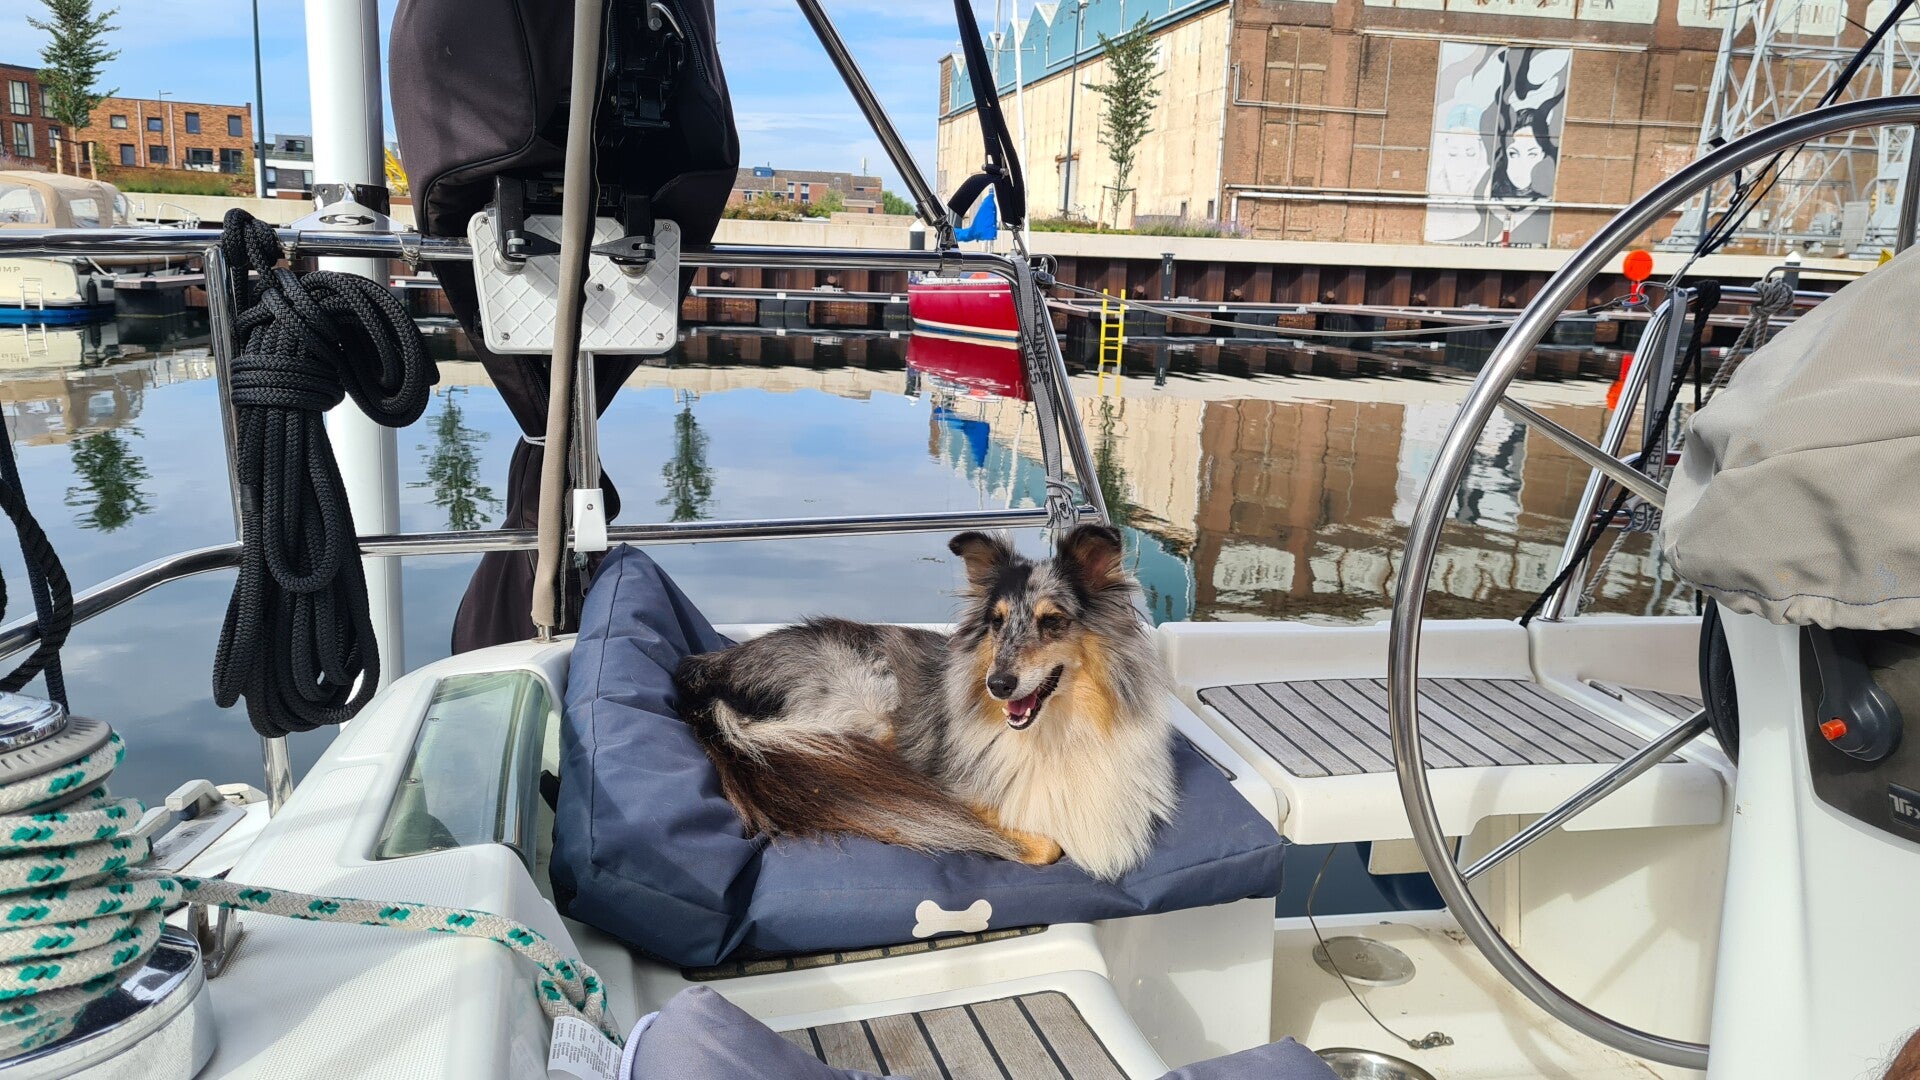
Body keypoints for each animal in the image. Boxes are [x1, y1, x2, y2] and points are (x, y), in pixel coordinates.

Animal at [672, 524, 1177, 881]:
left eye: (1052, 621)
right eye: (996, 622)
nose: (997, 685)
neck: (1057, 732)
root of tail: (708, 668)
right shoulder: (955, 788)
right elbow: (1046, 843)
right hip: (864, 699)